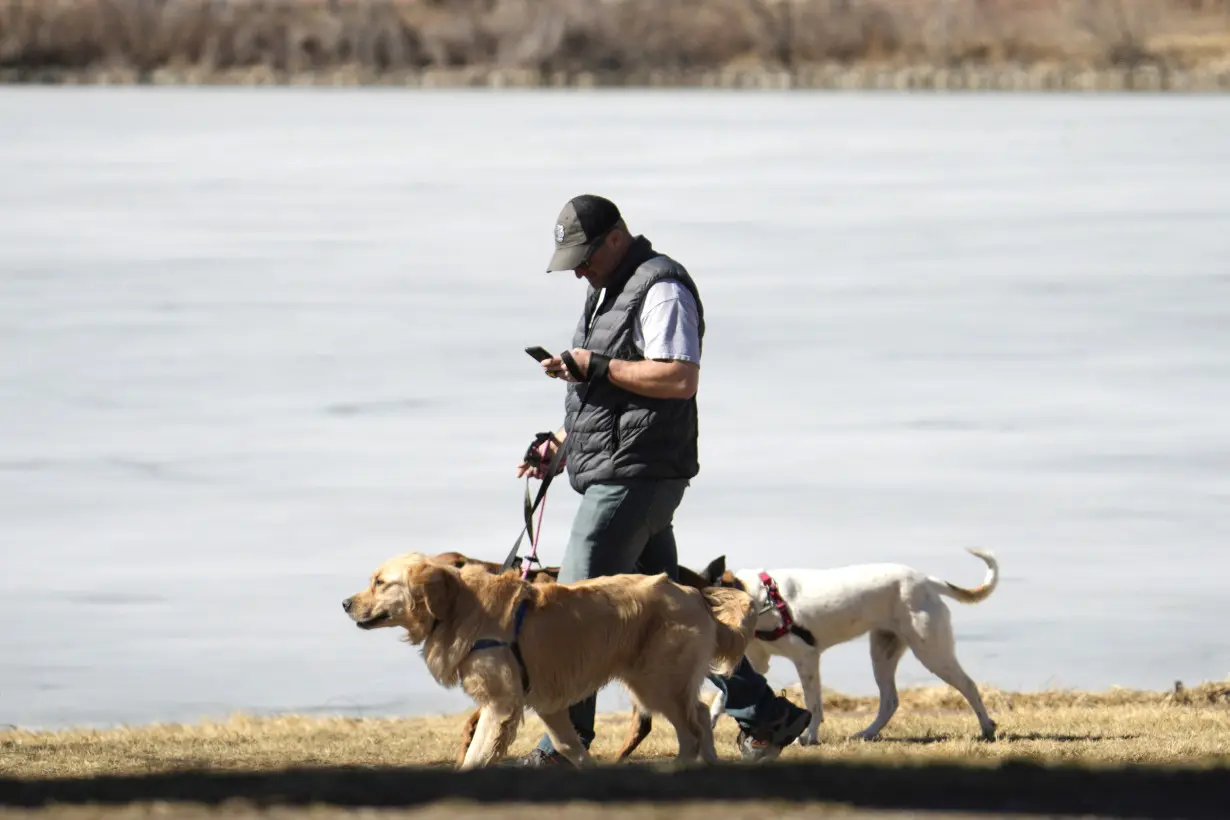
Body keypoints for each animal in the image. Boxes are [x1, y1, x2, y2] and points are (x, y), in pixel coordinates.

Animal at [703, 548, 998, 747]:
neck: (760, 598)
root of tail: (927, 580)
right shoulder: (756, 663)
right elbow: (721, 699)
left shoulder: (806, 658)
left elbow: (813, 704)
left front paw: (810, 737)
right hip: (883, 653)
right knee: (890, 701)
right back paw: (867, 734)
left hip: (932, 652)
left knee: (969, 686)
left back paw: (987, 728)